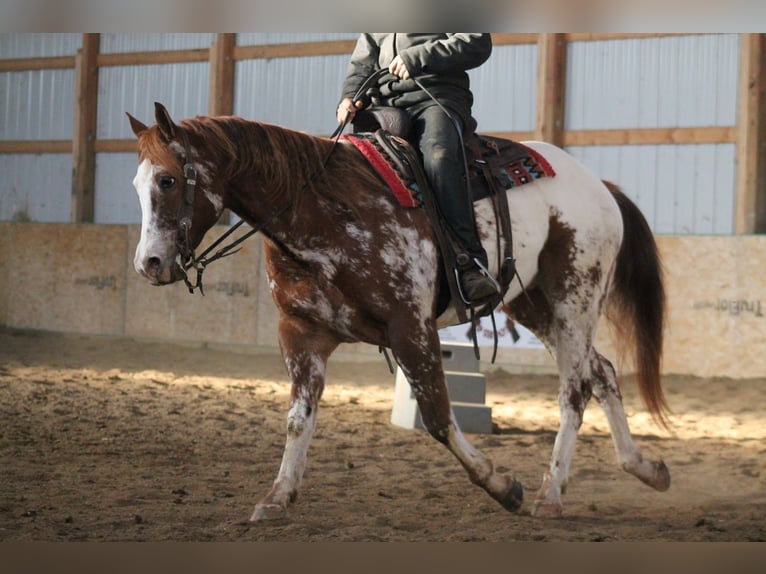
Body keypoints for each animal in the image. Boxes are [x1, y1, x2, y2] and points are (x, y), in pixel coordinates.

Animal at [127, 102, 671, 521]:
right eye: (136, 185)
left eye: (168, 180)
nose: (148, 264)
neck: (322, 210)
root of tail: (599, 185)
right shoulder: (302, 334)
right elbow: (298, 419)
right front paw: (277, 497)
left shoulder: (410, 326)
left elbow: (437, 415)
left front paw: (501, 485)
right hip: (532, 303)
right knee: (602, 372)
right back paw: (645, 468)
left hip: (575, 298)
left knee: (575, 389)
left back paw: (549, 492)